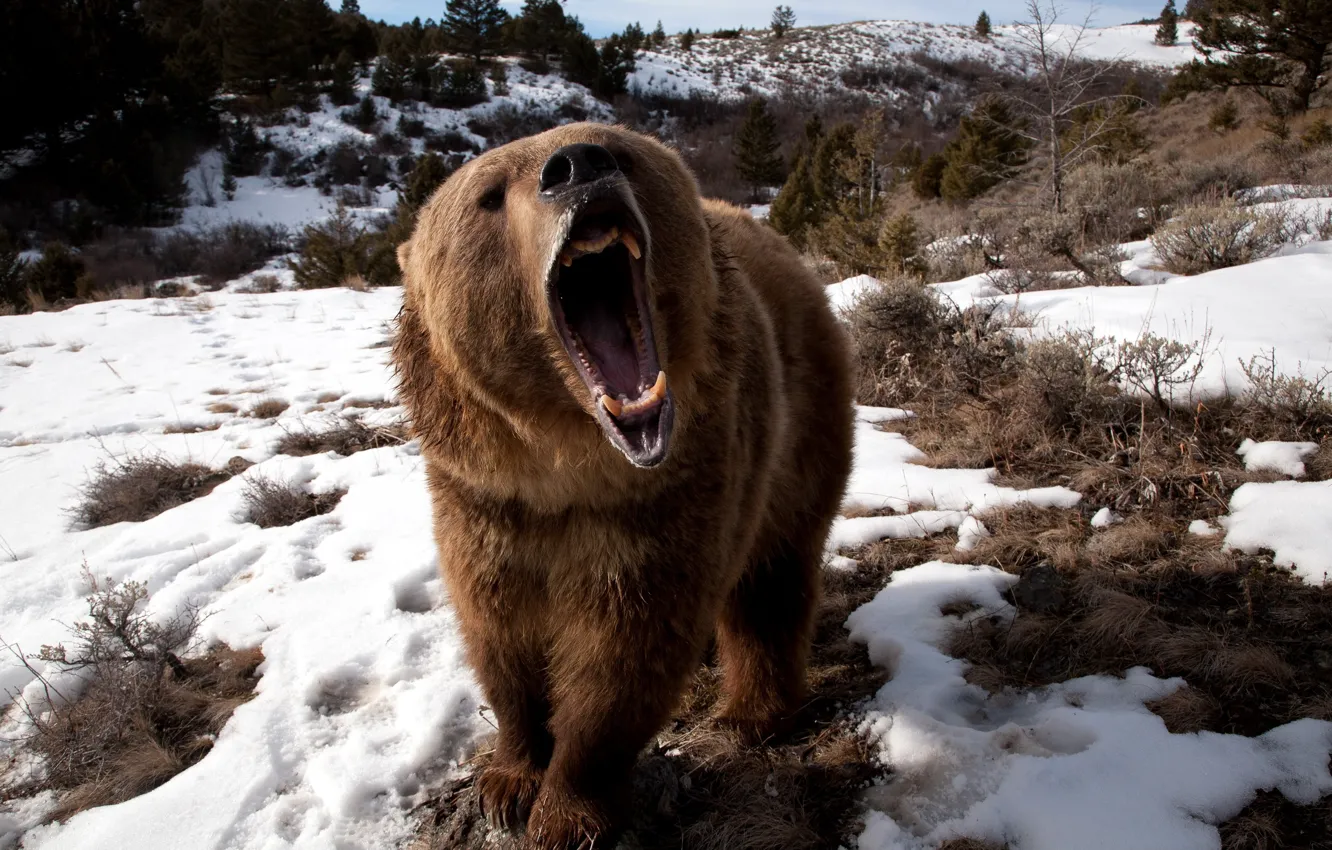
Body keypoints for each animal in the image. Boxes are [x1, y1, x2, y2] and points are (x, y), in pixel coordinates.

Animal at [392, 123, 853, 849]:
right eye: (488, 195)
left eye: (619, 149)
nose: (577, 166)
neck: (566, 468)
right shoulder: (483, 502)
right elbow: (499, 635)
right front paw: (508, 781)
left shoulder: (662, 502)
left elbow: (624, 655)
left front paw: (566, 812)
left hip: (798, 427)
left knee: (771, 577)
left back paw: (751, 713)